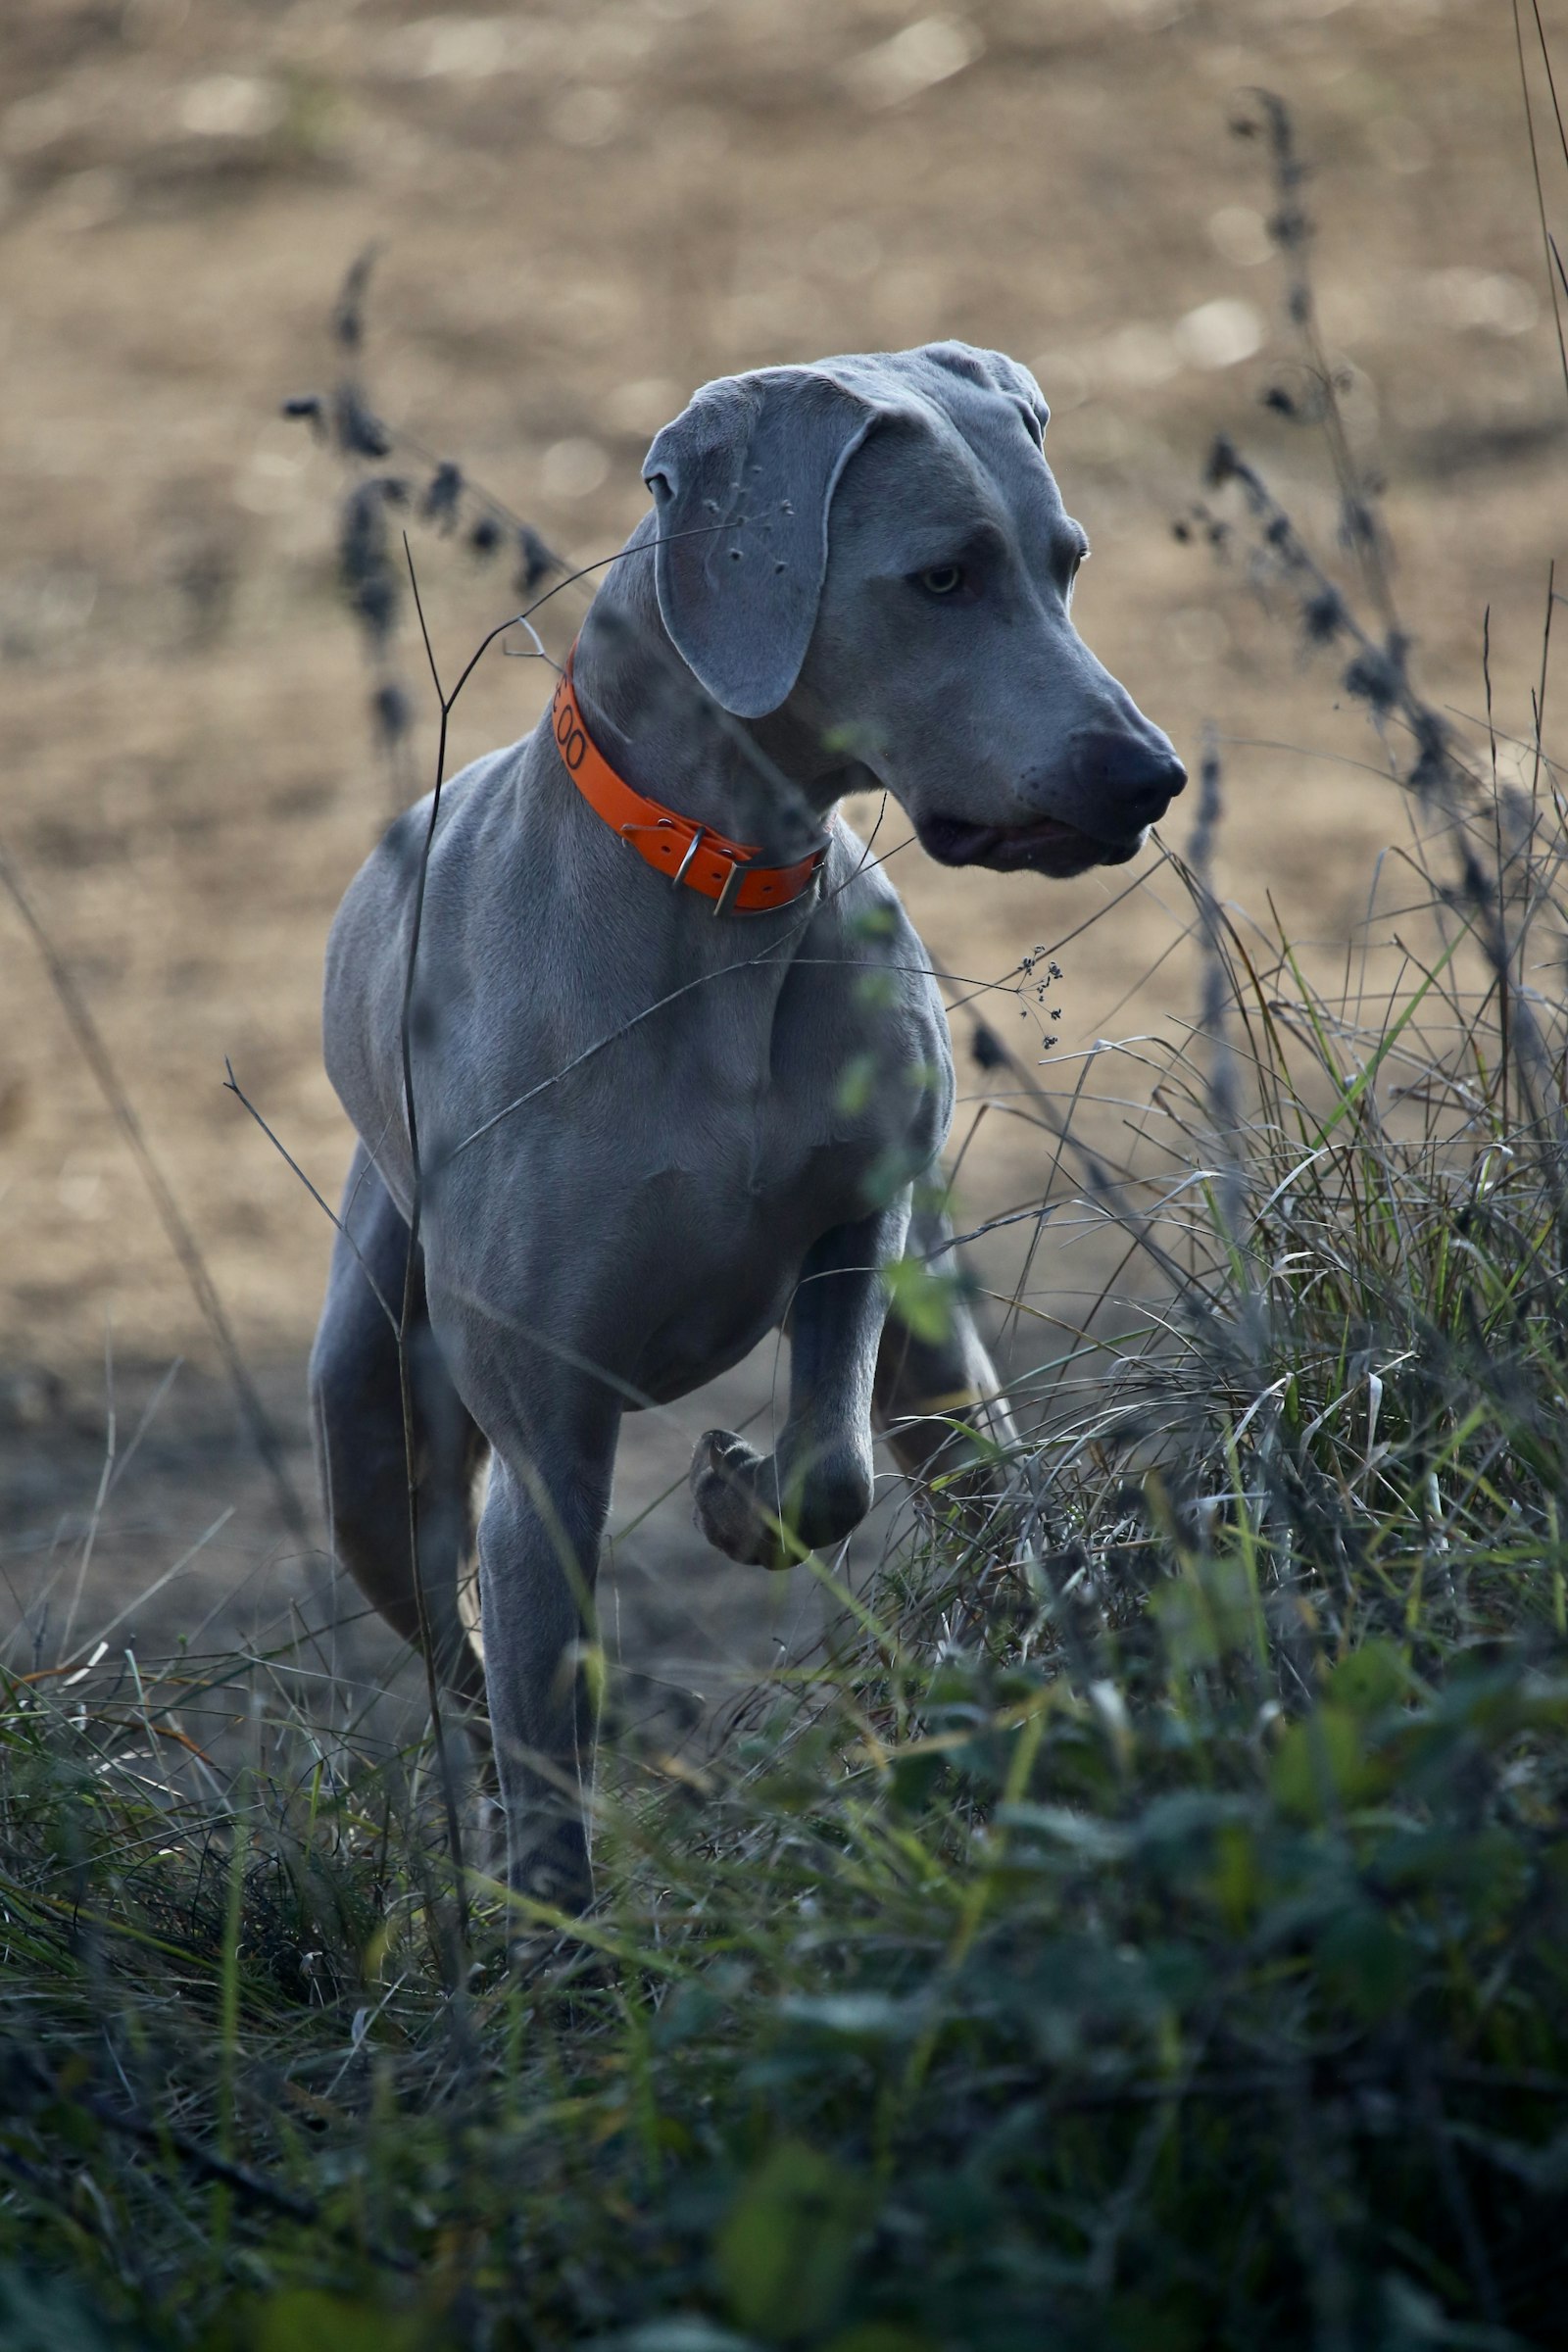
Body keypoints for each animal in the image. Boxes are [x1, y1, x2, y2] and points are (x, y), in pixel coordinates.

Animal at [310, 341, 1189, 1900]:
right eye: (943, 577)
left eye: (1066, 562)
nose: (1147, 775)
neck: (719, 891)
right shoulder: (547, 1442)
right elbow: (543, 1713)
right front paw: (560, 1936)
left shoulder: (860, 1220)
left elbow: (829, 1462)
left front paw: (741, 1495)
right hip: (365, 1422)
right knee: (463, 1670)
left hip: (943, 1370)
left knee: (969, 1486)